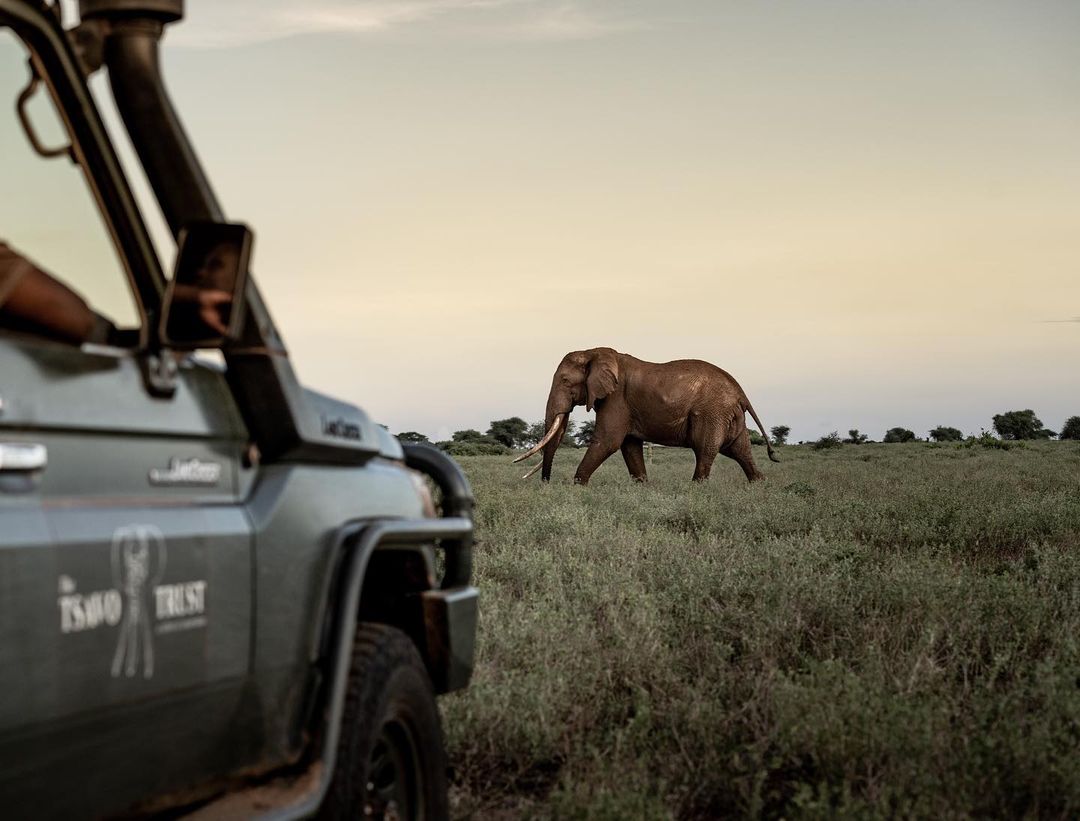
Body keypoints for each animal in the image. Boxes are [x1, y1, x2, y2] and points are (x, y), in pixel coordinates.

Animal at [514, 347, 779, 484]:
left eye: (566, 381)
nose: (546, 484)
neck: (593, 352)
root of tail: (740, 392)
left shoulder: (616, 398)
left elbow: (608, 441)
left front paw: (577, 488)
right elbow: (629, 446)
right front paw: (641, 487)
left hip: (712, 412)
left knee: (706, 450)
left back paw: (696, 490)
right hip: (728, 415)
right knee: (739, 450)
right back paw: (759, 485)